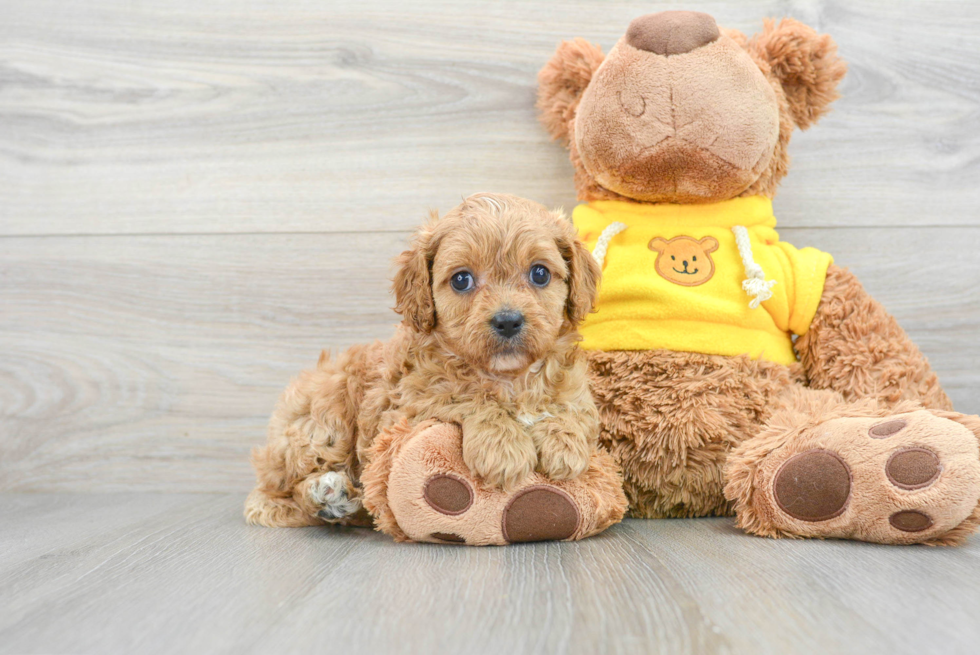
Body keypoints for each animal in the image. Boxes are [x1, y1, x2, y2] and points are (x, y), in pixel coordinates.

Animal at [245, 191, 600, 528]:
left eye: (540, 274)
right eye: (461, 280)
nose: (508, 320)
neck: (508, 377)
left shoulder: (577, 391)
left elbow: (576, 410)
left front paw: (563, 443)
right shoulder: (405, 405)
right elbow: (466, 397)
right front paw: (502, 447)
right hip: (326, 413)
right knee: (274, 492)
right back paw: (326, 495)